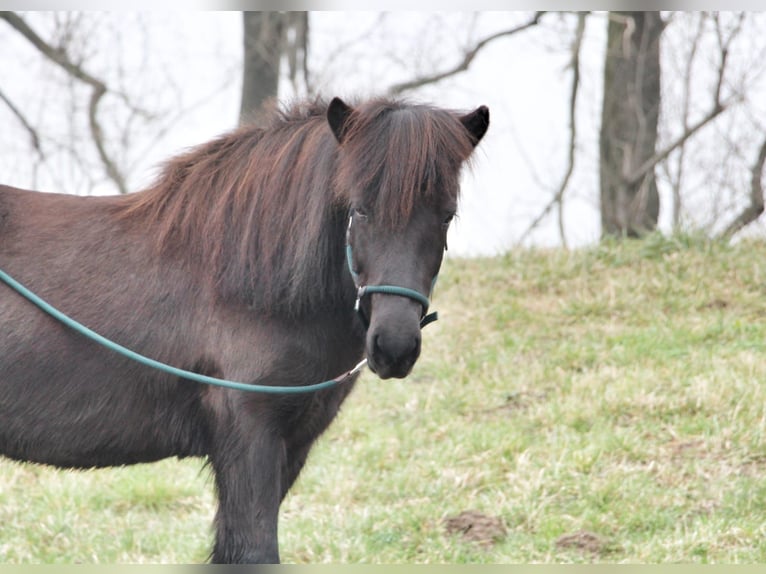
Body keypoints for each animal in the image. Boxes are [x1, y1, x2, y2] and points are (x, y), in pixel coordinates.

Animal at [0, 98, 488, 564]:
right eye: (360, 210)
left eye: (447, 215)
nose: (394, 345)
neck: (246, 282)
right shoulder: (250, 440)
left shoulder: (291, 448)